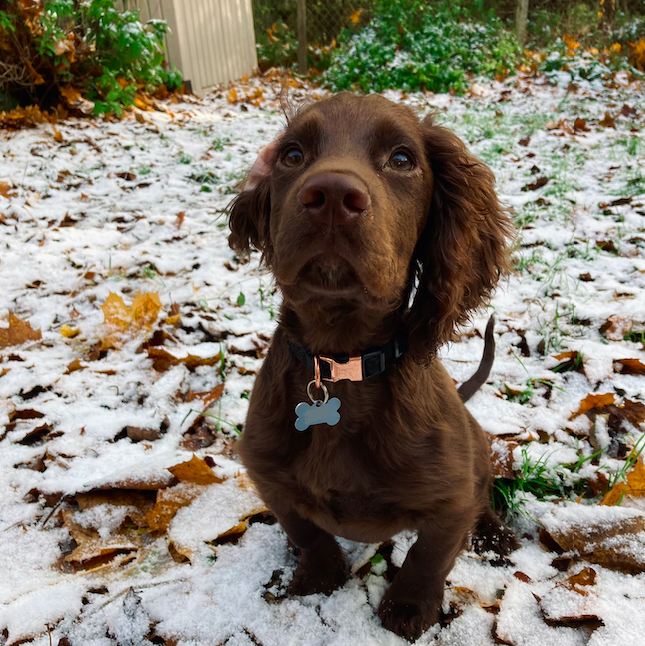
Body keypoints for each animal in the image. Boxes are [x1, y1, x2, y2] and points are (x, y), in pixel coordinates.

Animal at [229, 93, 516, 644]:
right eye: (292, 155)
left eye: (402, 159)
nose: (332, 195)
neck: (341, 364)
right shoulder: (267, 474)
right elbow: (307, 530)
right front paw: (318, 576)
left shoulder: (453, 496)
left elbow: (431, 553)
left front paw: (408, 607)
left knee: (486, 494)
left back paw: (494, 535)